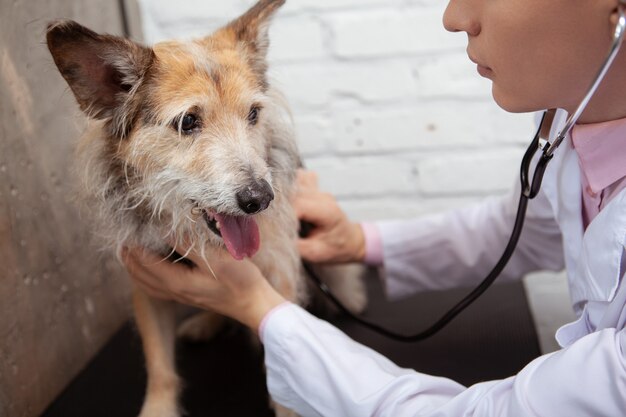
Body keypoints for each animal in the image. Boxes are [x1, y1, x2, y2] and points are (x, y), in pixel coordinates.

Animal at [46, 0, 366, 416]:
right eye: (188, 121)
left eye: (253, 114)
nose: (260, 199)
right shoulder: (145, 286)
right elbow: (159, 365)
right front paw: (158, 408)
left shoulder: (280, 272)